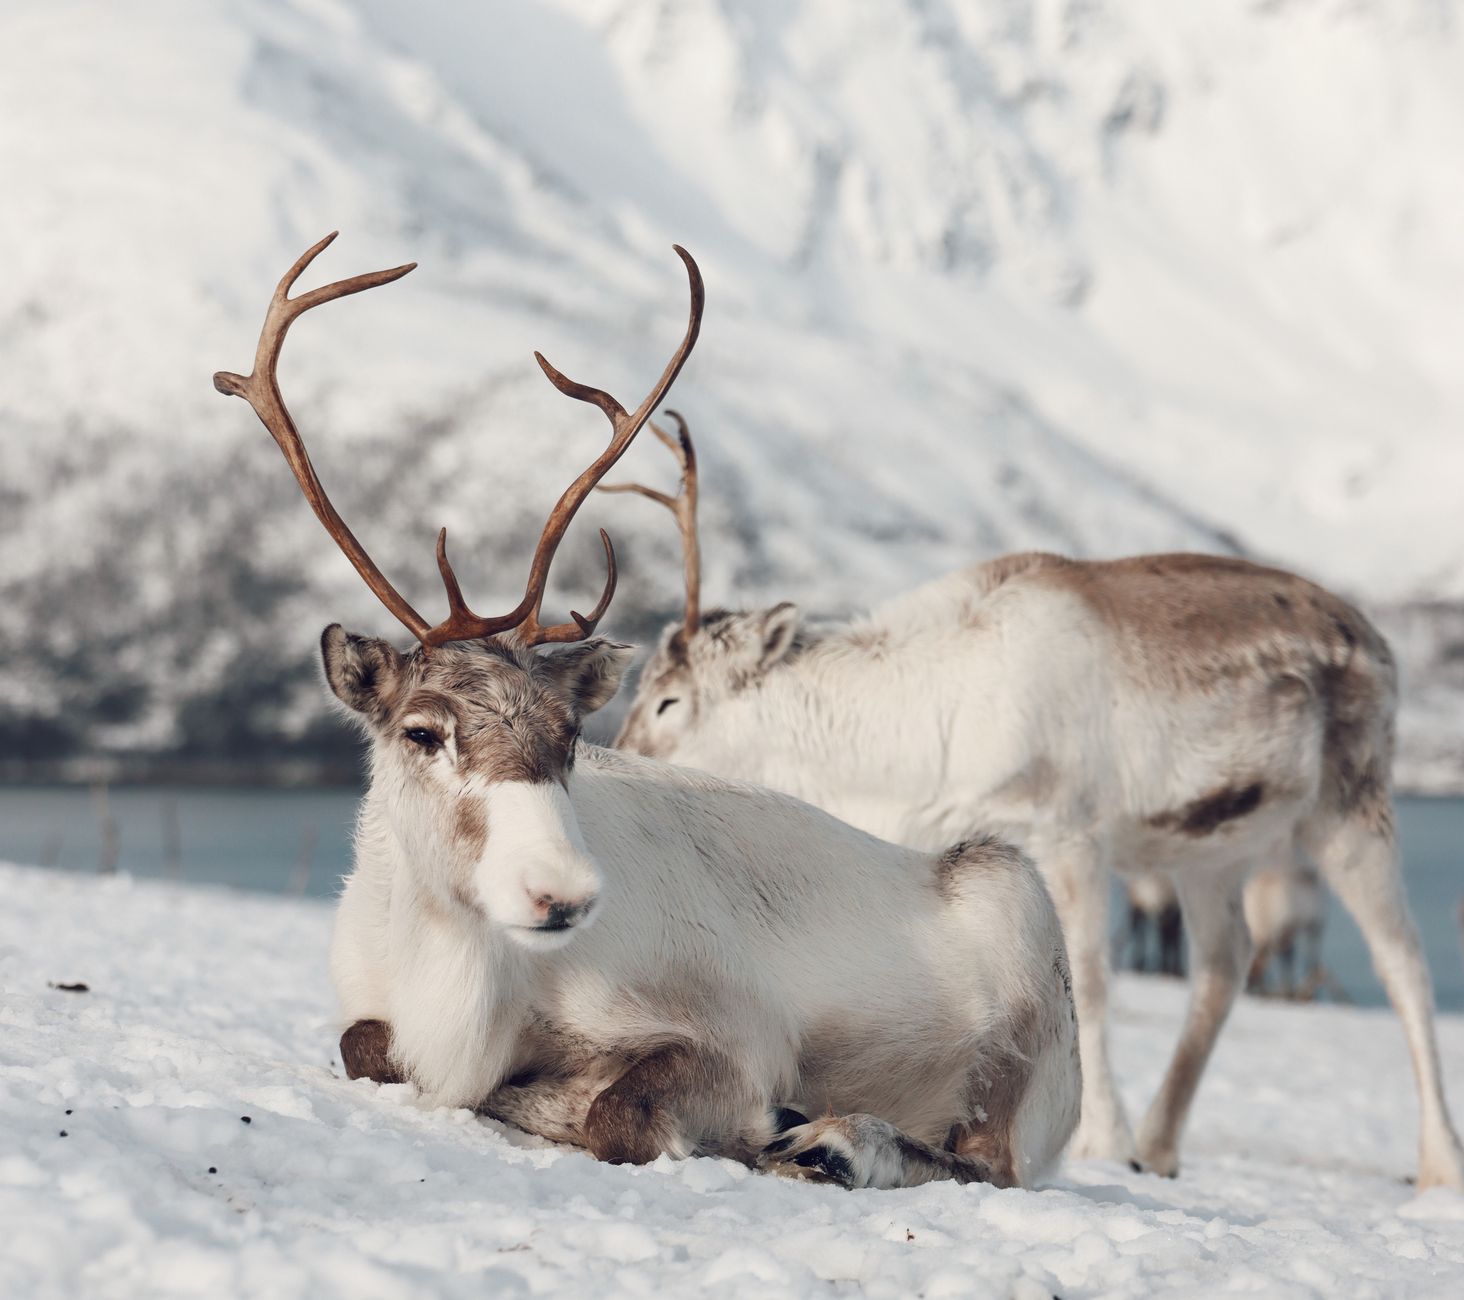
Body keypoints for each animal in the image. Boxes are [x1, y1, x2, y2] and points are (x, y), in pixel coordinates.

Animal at [211, 234, 1082, 1191]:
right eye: (422, 731)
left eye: (569, 735)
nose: (563, 892)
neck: (463, 979)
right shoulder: (375, 1010)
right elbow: (365, 1047)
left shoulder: (738, 1036)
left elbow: (615, 1111)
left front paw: (737, 1124)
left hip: (1015, 930)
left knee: (987, 1161)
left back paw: (834, 1143)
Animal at [604, 415, 1464, 1191]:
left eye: (671, 701)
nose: (621, 754)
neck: (911, 741)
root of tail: (1378, 639)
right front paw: (1121, 1143)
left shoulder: (1068, 829)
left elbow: (1094, 980)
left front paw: (1101, 1142)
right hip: (1211, 851)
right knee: (1224, 964)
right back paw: (1160, 1148)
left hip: (1352, 801)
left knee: (1404, 963)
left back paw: (1438, 1166)